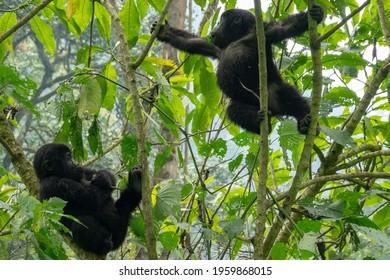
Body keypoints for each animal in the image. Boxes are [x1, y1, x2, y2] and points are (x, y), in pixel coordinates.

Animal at [151, 5, 324, 135]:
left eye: (221, 22)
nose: (214, 29)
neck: (236, 39)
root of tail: (274, 109)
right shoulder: (215, 47)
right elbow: (193, 42)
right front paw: (165, 32)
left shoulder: (262, 32)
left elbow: (285, 28)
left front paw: (314, 15)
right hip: (250, 102)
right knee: (234, 110)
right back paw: (259, 122)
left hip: (277, 92)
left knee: (292, 97)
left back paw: (305, 121)